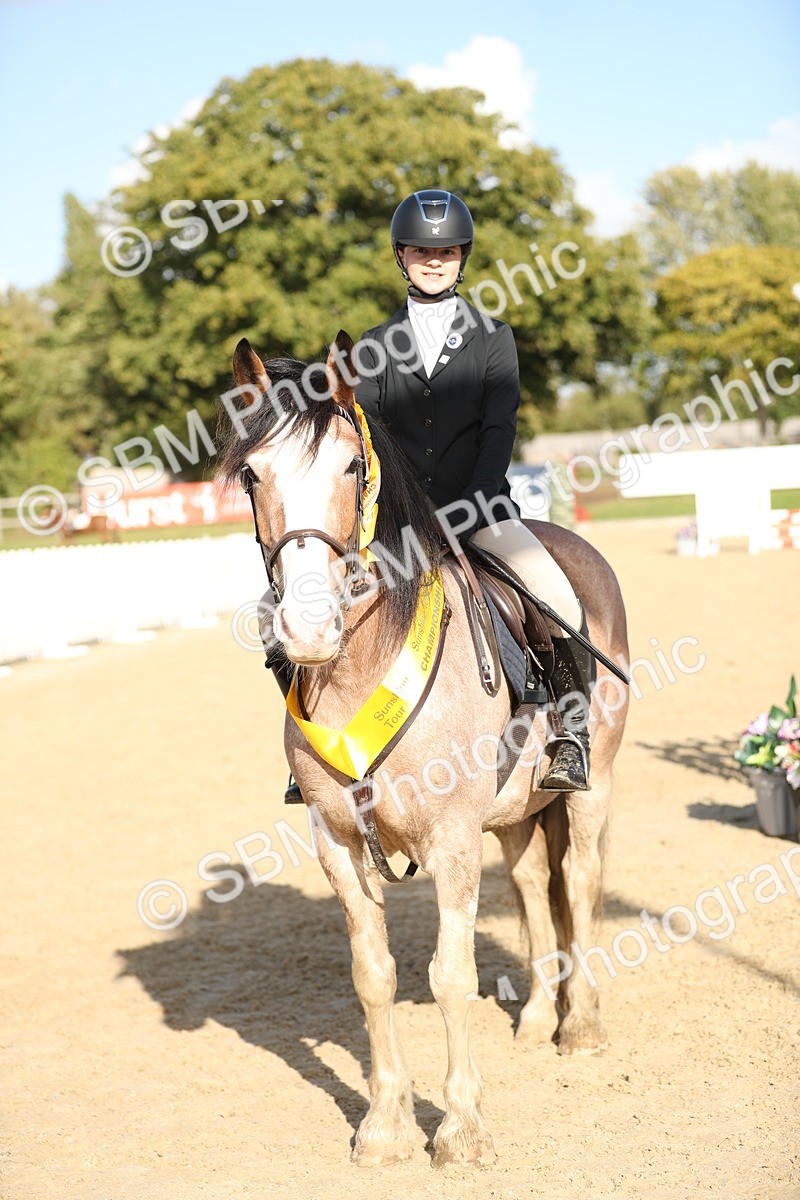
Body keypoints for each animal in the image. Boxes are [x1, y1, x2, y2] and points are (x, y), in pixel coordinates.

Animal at [217, 332, 630, 1169]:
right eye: (251, 474)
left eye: (351, 466)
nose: (308, 628)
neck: (359, 666)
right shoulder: (339, 844)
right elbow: (373, 976)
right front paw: (385, 1127)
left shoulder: (451, 841)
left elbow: (450, 974)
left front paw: (462, 1129)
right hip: (514, 812)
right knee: (534, 884)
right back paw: (538, 1020)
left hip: (592, 784)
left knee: (579, 878)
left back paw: (581, 1026)